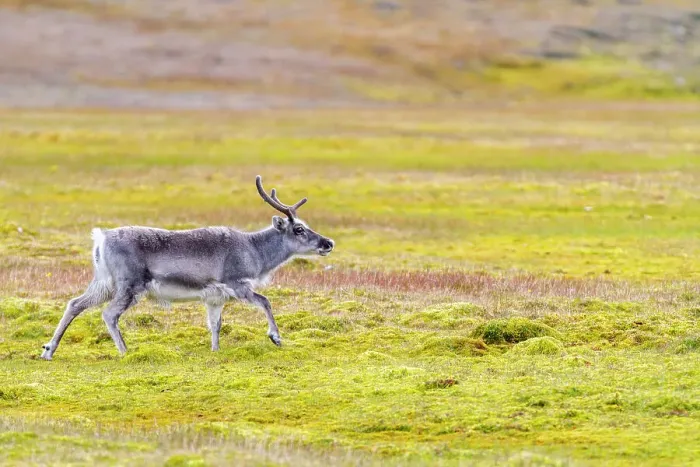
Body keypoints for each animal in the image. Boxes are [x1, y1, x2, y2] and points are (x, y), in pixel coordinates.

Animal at [40, 175, 335, 361]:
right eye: (299, 229)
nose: (328, 243)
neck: (255, 250)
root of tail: (101, 238)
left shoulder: (215, 298)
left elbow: (215, 325)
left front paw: (215, 351)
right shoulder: (237, 283)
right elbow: (266, 301)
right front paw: (276, 337)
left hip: (104, 283)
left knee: (75, 304)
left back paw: (48, 350)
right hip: (129, 285)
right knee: (109, 314)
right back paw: (125, 351)